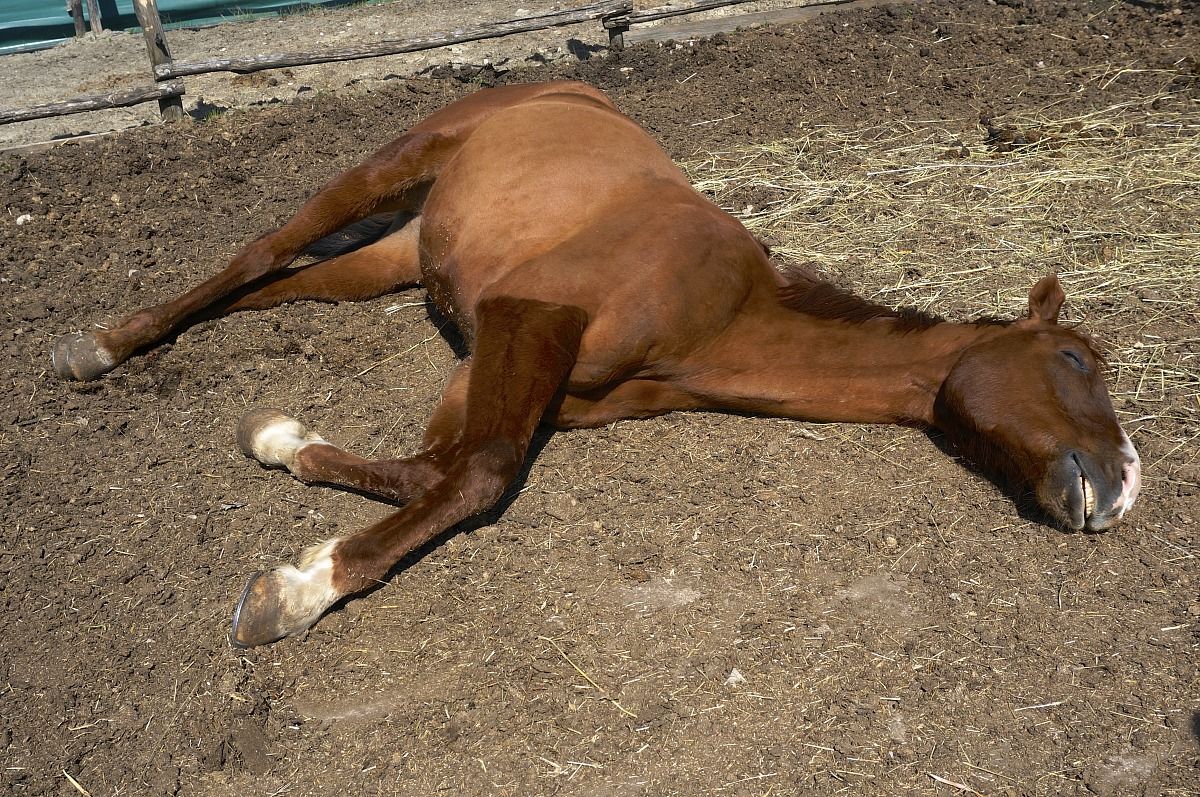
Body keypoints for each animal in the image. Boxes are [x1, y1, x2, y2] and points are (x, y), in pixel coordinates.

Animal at [51, 81, 1141, 647]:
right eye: (1076, 358)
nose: (1125, 483)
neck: (715, 308)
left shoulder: (506, 367)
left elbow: (433, 467)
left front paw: (284, 443)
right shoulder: (526, 316)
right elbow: (481, 475)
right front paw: (299, 590)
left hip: (397, 254)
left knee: (275, 285)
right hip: (390, 165)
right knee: (256, 254)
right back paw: (98, 345)